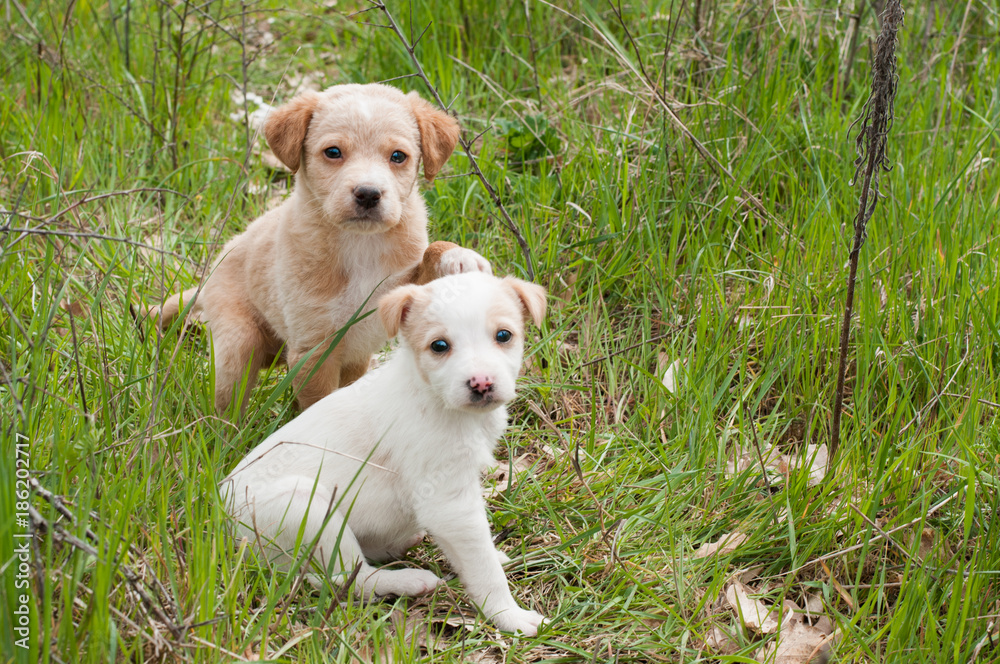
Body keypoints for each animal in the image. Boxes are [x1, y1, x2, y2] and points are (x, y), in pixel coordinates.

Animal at [151, 84, 488, 410]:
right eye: (333, 152)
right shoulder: (313, 351)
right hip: (238, 344)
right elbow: (319, 404)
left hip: (346, 359)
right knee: (226, 407)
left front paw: (459, 258)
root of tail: (208, 277)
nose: (368, 194)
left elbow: (431, 254)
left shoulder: (397, 291)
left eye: (398, 156)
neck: (359, 243)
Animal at [222, 272, 548, 636]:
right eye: (439, 346)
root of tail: (223, 521)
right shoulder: (449, 502)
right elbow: (483, 568)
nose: (481, 384)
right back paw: (409, 580)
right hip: (308, 509)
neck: (431, 396)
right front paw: (509, 615)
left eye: (503, 335)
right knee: (344, 578)